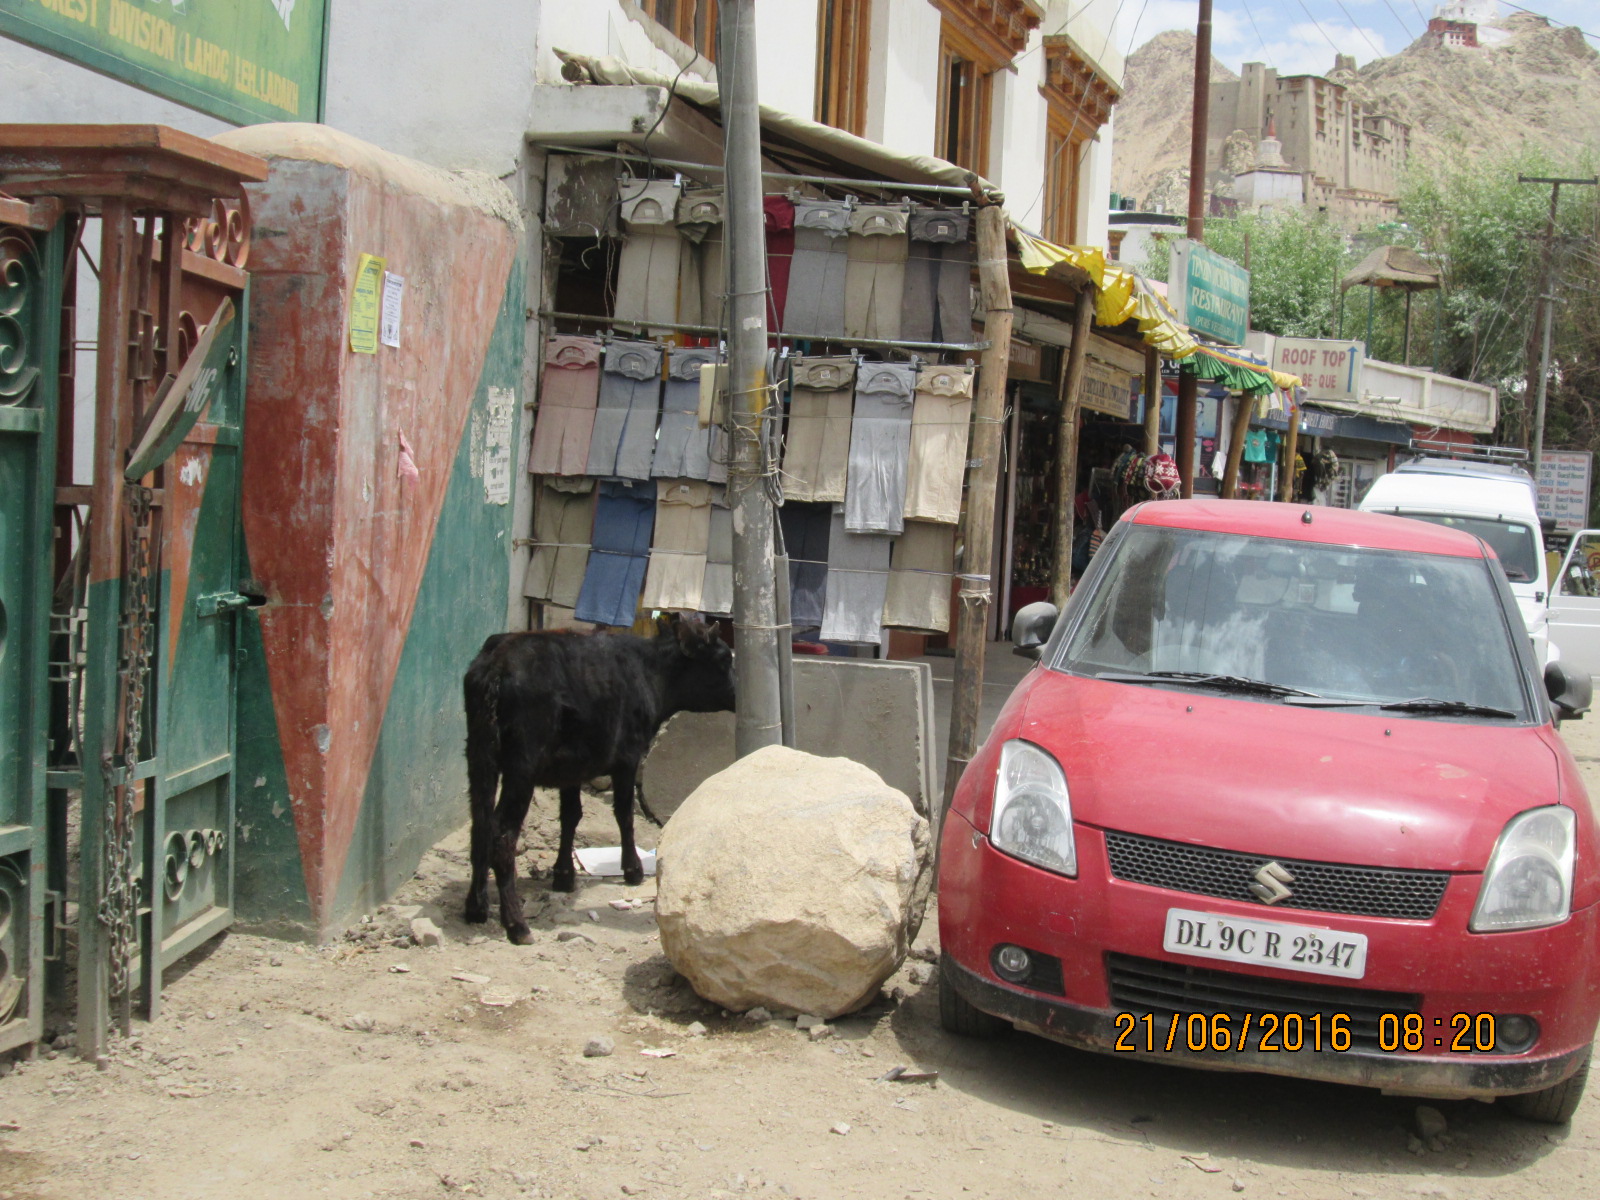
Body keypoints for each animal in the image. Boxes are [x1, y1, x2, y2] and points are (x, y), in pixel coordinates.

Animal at [464, 620, 736, 947]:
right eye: (724, 659)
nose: (739, 695)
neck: (650, 671)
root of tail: (498, 663)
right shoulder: (628, 756)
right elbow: (624, 814)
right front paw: (632, 869)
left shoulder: (571, 768)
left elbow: (571, 816)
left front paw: (564, 875)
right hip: (521, 769)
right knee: (501, 836)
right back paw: (516, 924)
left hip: (479, 758)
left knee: (480, 826)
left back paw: (476, 907)